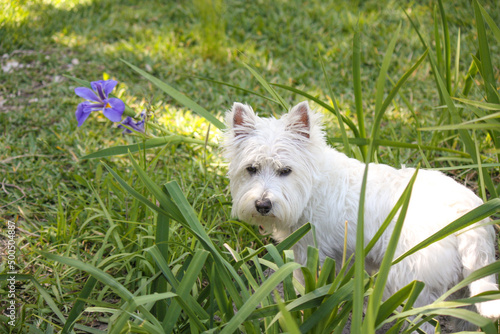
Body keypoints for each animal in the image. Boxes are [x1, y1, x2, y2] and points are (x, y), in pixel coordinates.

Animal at [224, 101, 500, 332]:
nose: (262, 204)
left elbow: (307, 288)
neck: (312, 185)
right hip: (466, 287)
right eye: (251, 169)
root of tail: (468, 215)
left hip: (412, 284)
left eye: (285, 171)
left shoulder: (309, 252)